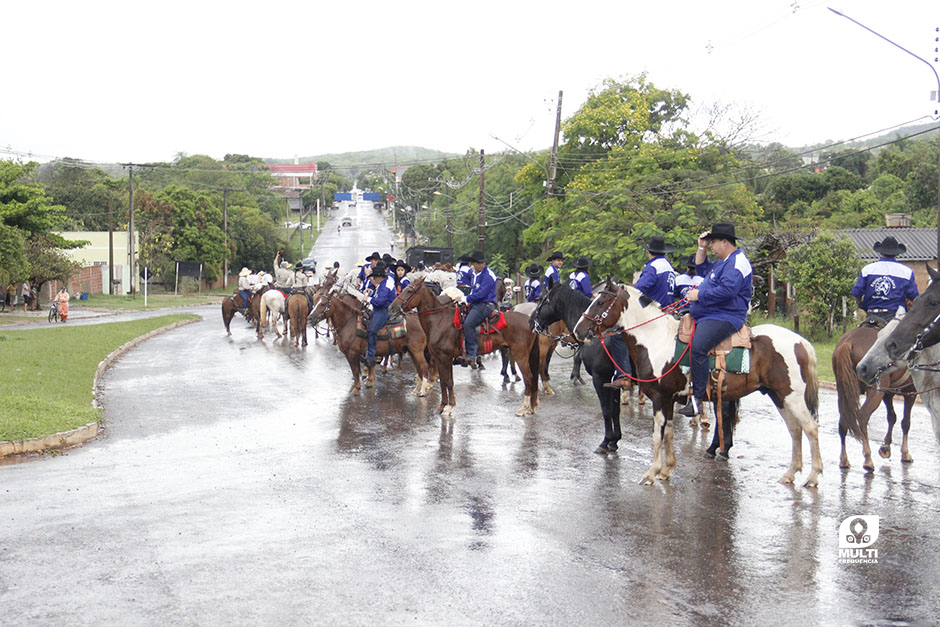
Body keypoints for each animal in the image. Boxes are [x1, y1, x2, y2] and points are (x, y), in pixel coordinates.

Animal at [832, 318, 916, 472]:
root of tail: (848, 341)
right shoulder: (910, 392)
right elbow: (905, 422)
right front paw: (905, 453)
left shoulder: (888, 394)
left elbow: (892, 417)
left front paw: (886, 447)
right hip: (874, 393)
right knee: (863, 417)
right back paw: (868, 459)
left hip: (843, 392)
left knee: (843, 421)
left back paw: (844, 459)